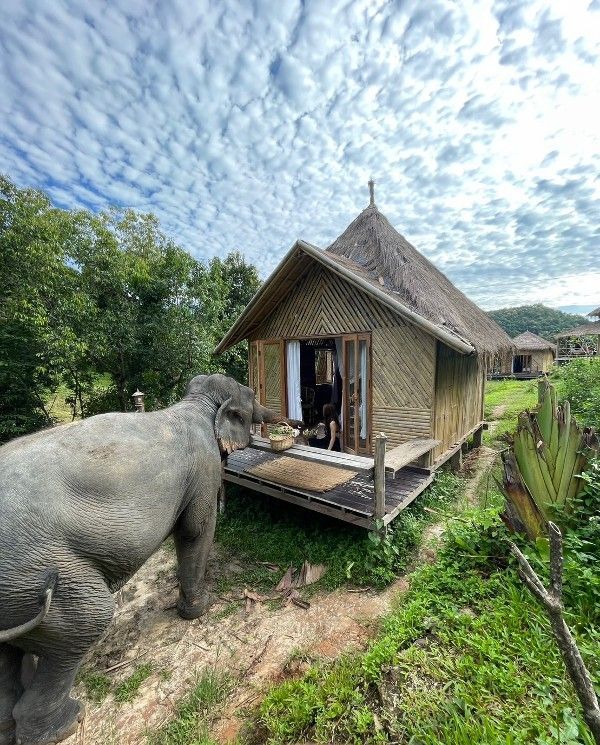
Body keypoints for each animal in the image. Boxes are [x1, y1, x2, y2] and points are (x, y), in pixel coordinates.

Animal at [0, 373, 301, 745]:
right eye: (251, 399)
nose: (294, 426)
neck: (195, 403)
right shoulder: (203, 468)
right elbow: (195, 530)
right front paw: (201, 609)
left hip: (15, 589)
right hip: (41, 571)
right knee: (88, 618)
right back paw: (69, 723)